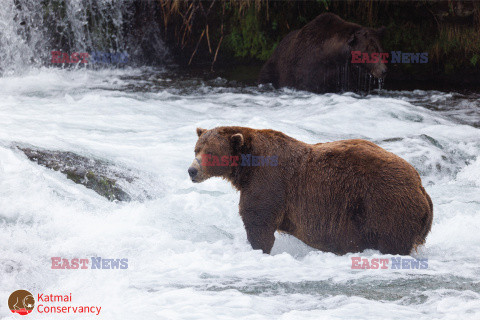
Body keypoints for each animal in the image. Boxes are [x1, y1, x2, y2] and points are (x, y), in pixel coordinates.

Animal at [189, 127, 434, 255]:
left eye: (210, 152)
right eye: (196, 149)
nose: (192, 170)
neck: (245, 167)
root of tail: (421, 188)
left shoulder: (269, 182)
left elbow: (259, 221)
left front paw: (260, 248)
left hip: (386, 206)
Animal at [258, 12, 386, 92]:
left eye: (380, 49)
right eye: (370, 49)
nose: (383, 70)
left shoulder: (346, 73)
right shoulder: (307, 69)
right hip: (273, 68)